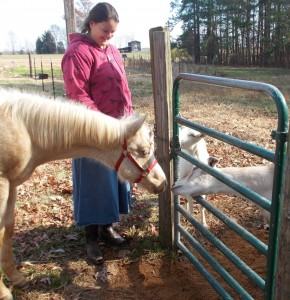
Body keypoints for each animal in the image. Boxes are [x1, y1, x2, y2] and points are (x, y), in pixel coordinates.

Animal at [0, 88, 168, 298]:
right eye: (144, 151)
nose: (163, 182)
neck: (25, 130)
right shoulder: (3, 183)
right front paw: (4, 292)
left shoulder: (12, 185)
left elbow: (7, 229)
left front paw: (16, 278)